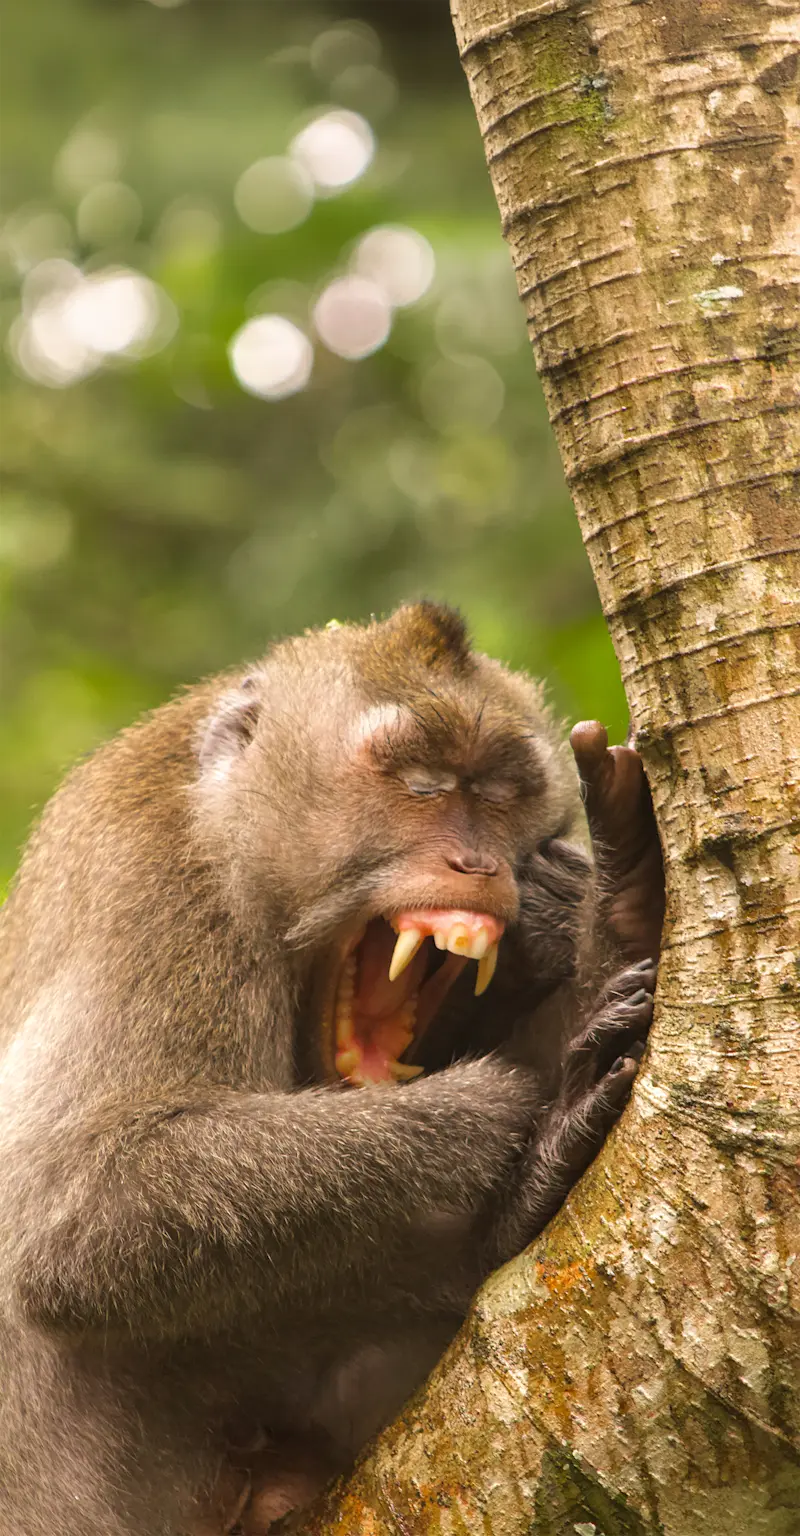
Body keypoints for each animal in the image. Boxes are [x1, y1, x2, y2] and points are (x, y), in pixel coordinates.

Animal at [0, 603, 663, 1536]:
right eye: (423, 785)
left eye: (498, 794)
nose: (478, 865)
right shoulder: (156, 892)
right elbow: (70, 1218)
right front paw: (500, 1116)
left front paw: (585, 915)